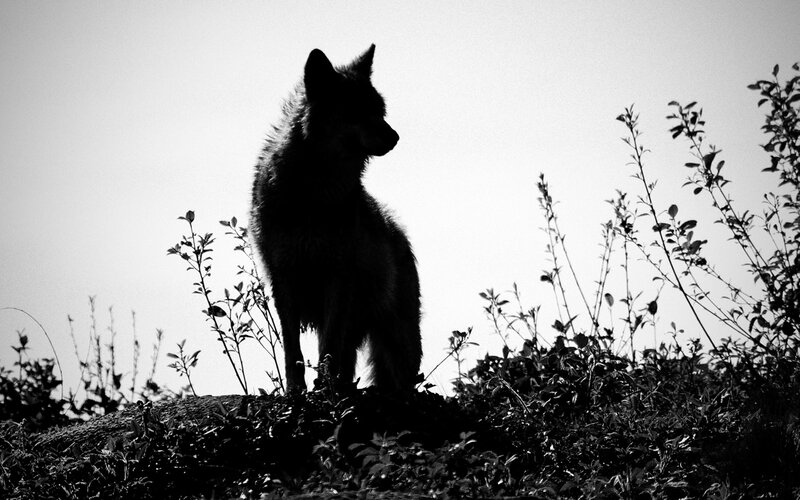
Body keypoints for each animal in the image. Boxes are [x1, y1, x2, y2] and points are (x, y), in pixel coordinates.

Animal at [250, 45, 421, 392]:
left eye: (380, 109)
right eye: (356, 110)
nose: (395, 137)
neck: (313, 192)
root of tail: (400, 234)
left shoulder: (337, 276)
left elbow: (328, 345)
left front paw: (324, 390)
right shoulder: (282, 278)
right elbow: (293, 349)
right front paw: (297, 391)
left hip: (398, 343)